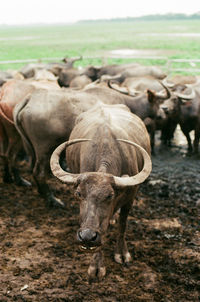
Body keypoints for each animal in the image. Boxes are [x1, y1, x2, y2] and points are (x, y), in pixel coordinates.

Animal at [50, 102, 152, 280]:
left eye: (110, 195)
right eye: (78, 194)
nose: (87, 237)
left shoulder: (131, 197)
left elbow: (123, 224)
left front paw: (122, 253)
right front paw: (96, 265)